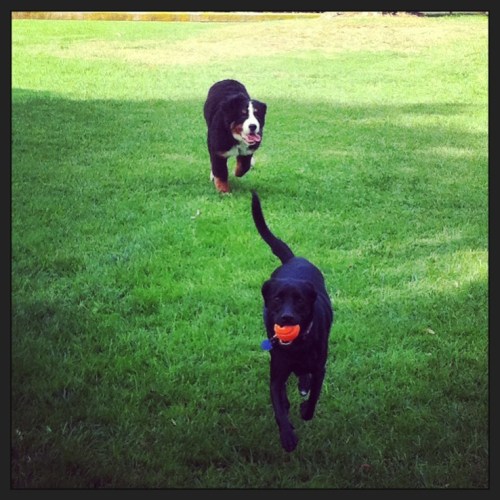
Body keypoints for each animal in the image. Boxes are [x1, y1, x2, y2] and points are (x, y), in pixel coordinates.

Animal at [251, 191, 334, 452]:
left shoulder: (319, 368)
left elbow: (315, 394)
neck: (297, 346)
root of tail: (293, 259)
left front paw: (305, 411)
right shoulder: (277, 372)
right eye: (278, 299)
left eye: (299, 301)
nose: (286, 318)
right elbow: (278, 406)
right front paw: (287, 436)